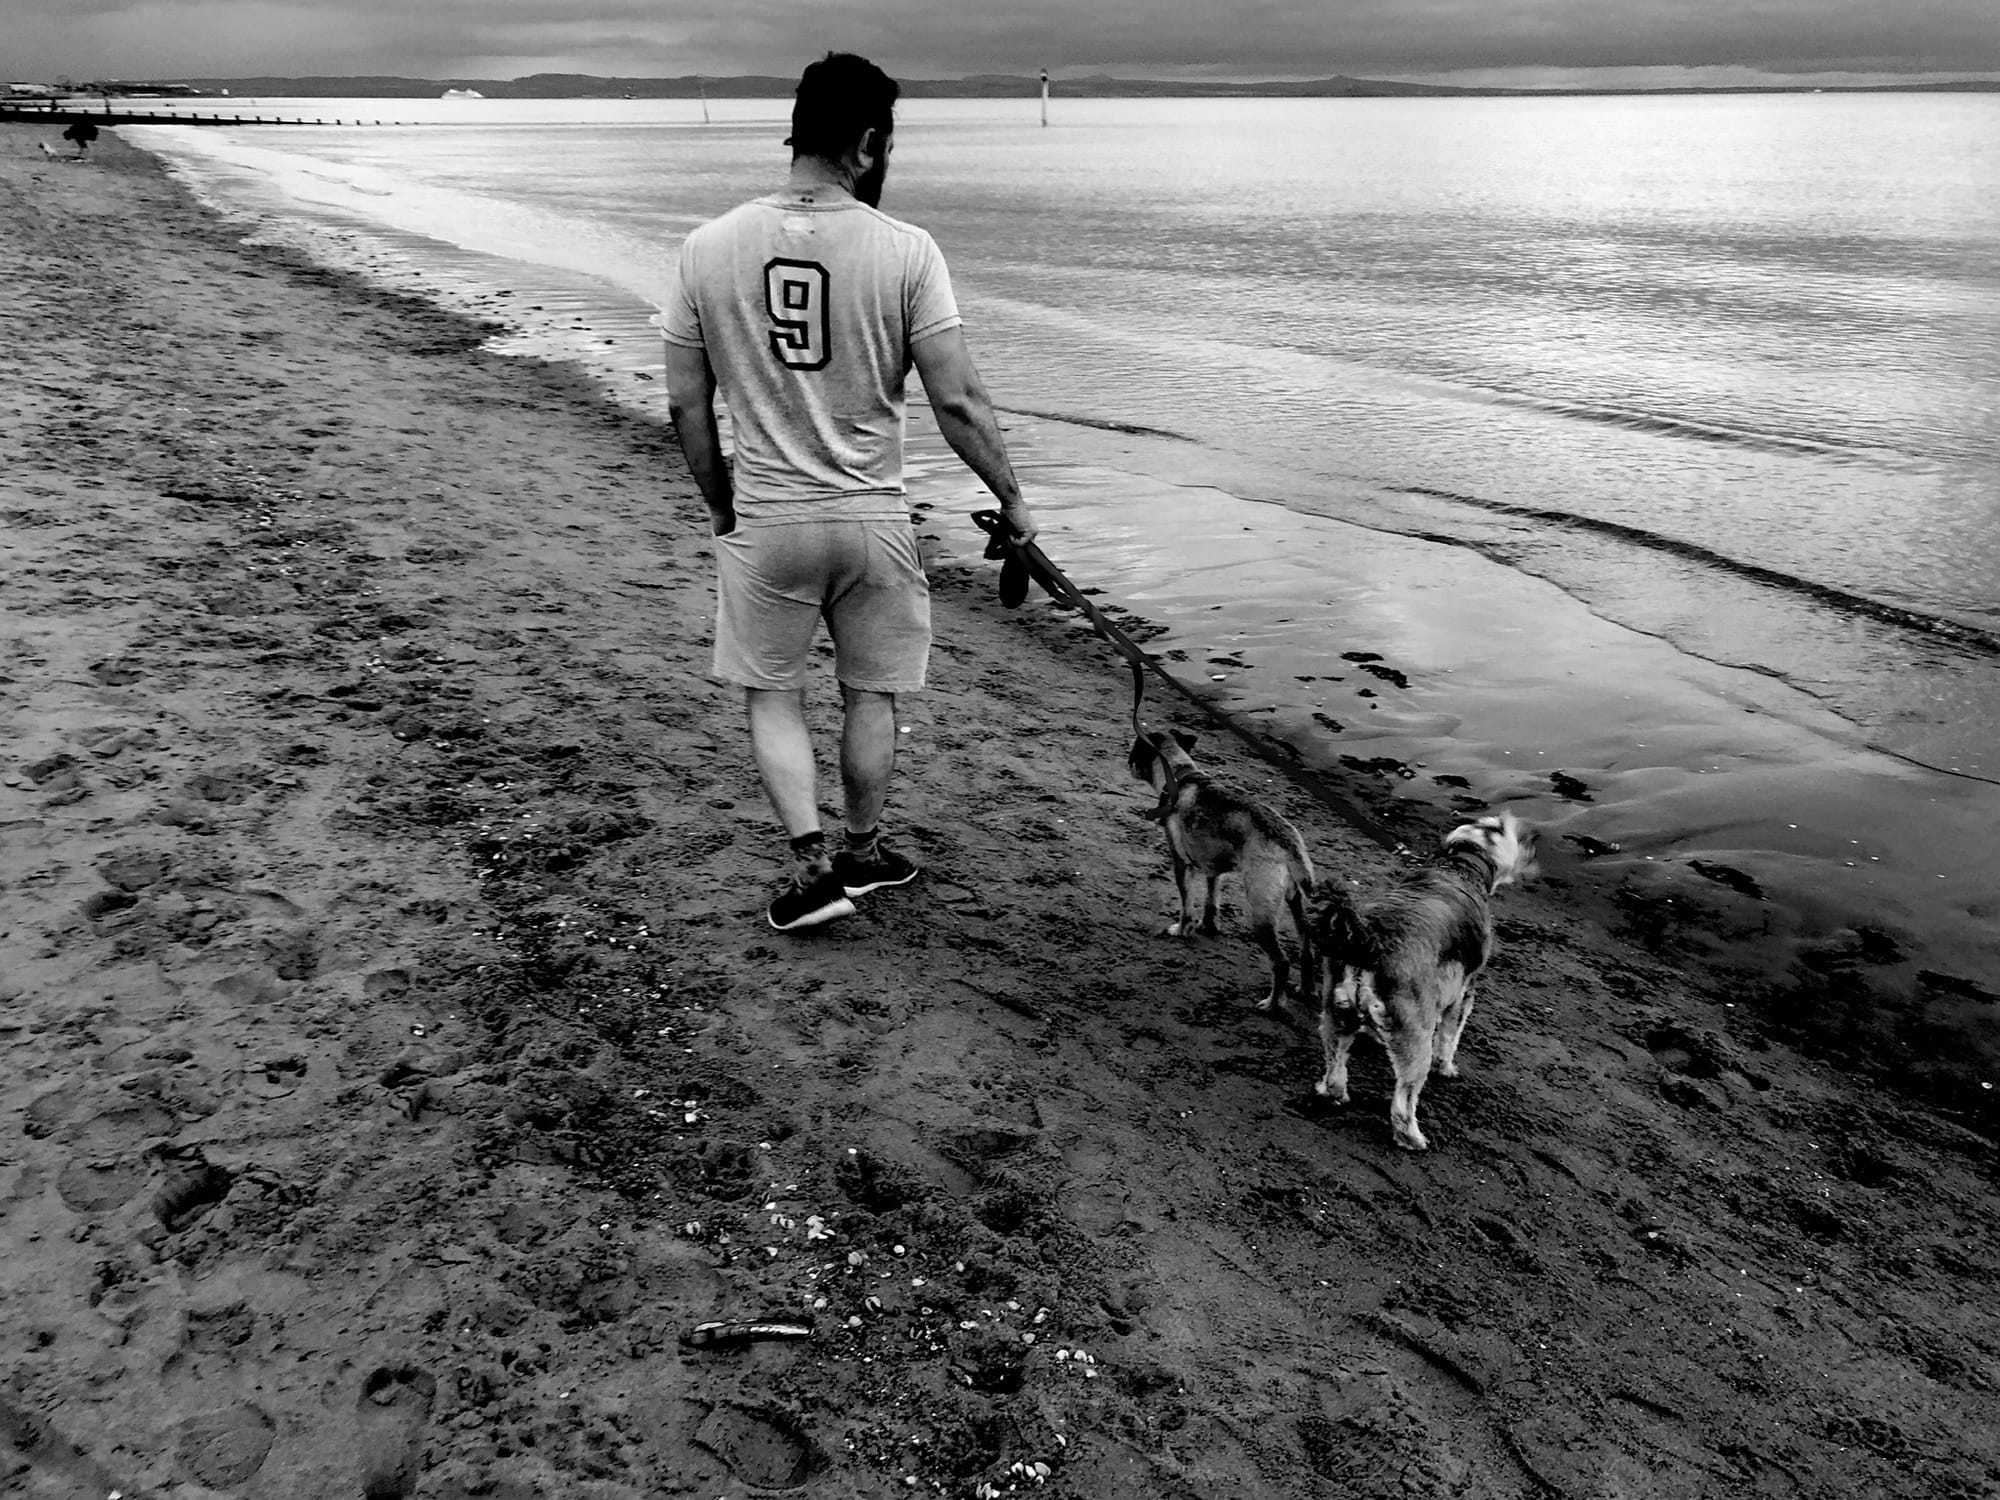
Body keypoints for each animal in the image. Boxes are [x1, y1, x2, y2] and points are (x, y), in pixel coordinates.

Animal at [1136, 724, 1320, 1012]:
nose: (1129, 762)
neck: (1180, 775)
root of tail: (1289, 844)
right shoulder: (1214, 868)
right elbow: (1211, 899)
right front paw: (1207, 925)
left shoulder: (1181, 863)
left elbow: (1187, 903)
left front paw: (1183, 929)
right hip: (1295, 900)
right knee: (1306, 946)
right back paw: (1306, 988)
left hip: (1261, 914)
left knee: (1281, 962)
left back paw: (1274, 1003)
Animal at [1312, 824, 1528, 1152]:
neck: (1459, 866)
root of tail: (1369, 943)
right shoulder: (1464, 992)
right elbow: (1450, 1036)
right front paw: (1446, 1067)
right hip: (1417, 1038)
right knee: (1403, 1102)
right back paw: (1413, 1139)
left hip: (1335, 1014)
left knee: (1336, 1067)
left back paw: (1331, 1091)